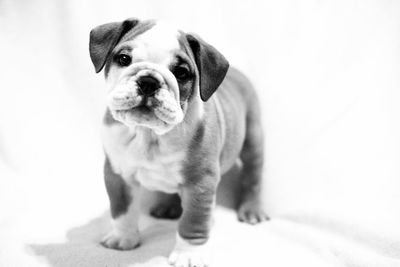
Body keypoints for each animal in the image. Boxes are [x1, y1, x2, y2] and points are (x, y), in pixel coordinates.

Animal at [89, 18, 268, 267]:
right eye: (124, 59)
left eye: (181, 73)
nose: (148, 81)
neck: (149, 134)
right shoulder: (118, 176)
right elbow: (122, 210)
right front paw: (122, 238)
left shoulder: (200, 184)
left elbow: (192, 223)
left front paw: (188, 254)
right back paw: (168, 207)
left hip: (253, 139)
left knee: (252, 177)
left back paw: (251, 210)